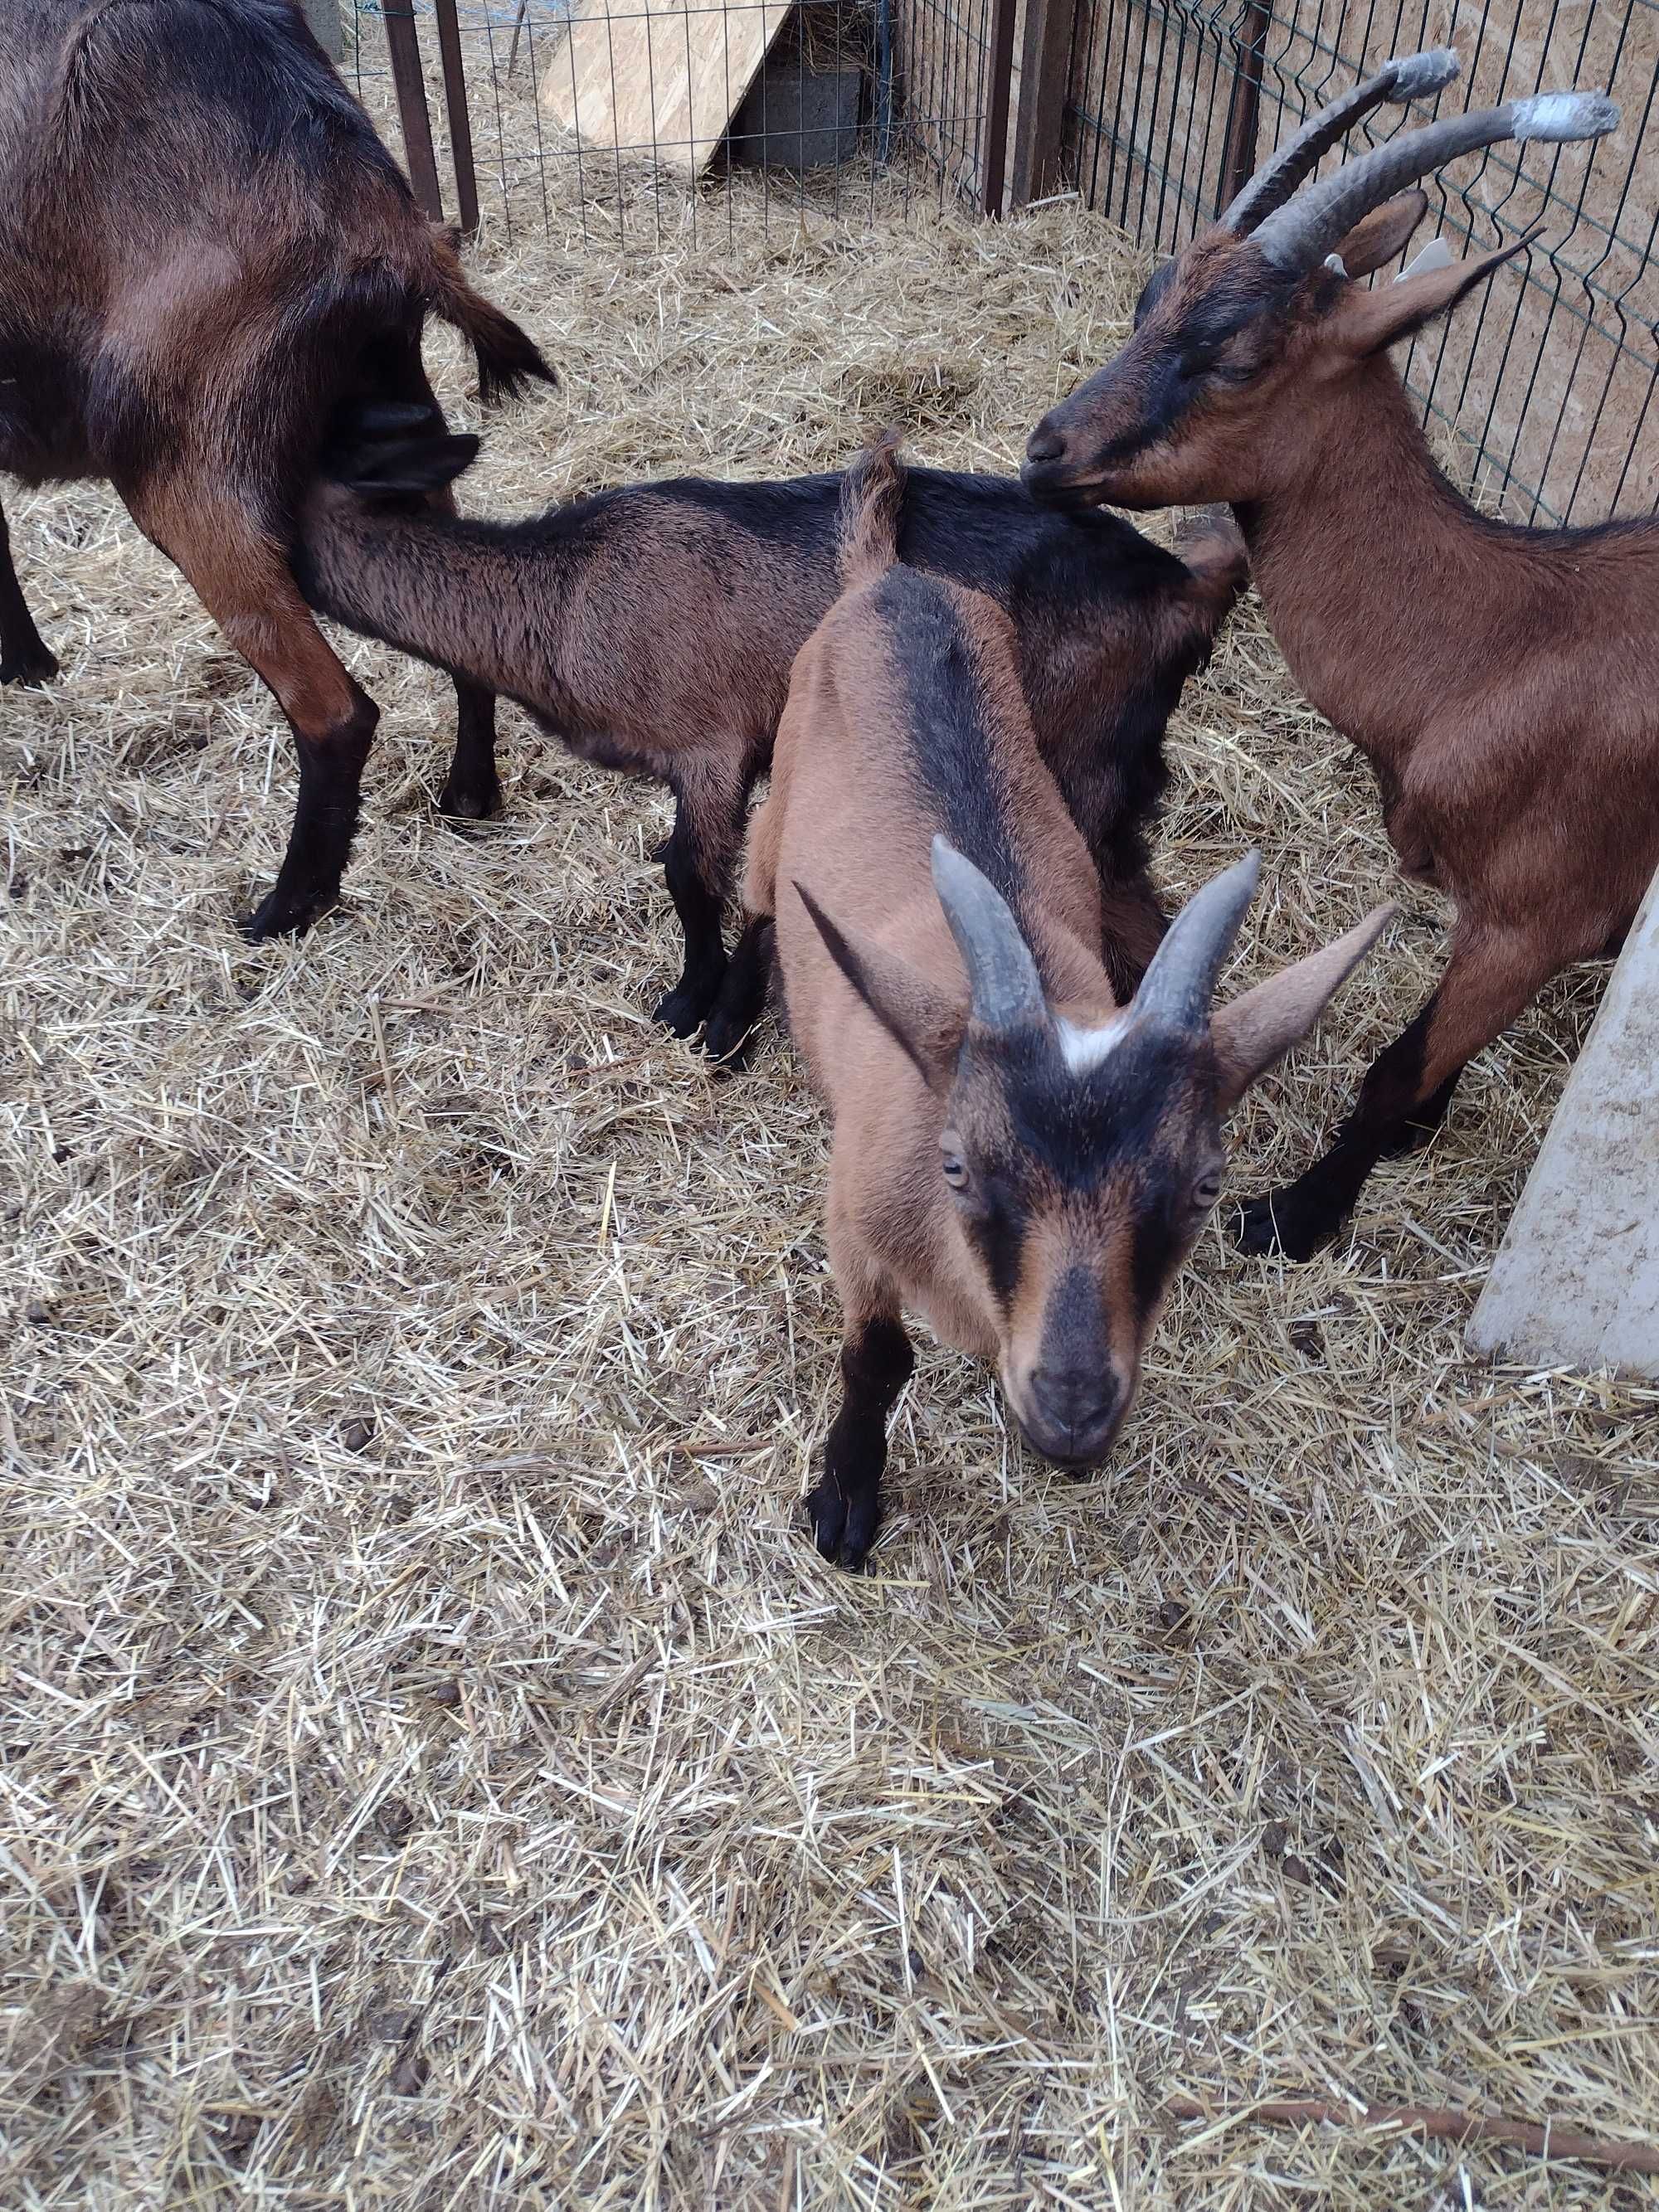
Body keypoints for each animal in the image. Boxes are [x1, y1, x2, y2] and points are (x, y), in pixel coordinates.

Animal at [0, 0, 559, 933]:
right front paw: (29, 667)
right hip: (388, 414)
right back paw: (467, 797)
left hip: (185, 467)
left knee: (333, 709)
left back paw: (287, 905)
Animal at [296, 411, 1248, 1030]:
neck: (565, 591)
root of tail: (1181, 589)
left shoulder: (708, 743)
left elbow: (691, 874)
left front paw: (697, 1008)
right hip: (1118, 775)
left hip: (1073, 760)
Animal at [738, 440, 1389, 1566]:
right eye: (957, 1164)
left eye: (1206, 1184)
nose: (1074, 1406)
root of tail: (886, 578)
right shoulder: (852, 1220)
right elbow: (875, 1358)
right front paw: (845, 1504)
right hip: (777, 812)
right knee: (750, 884)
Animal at [1026, 51, 1659, 1265]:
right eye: (1148, 299)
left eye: (1232, 354)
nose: (1049, 448)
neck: (1502, 642)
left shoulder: (1535, 917)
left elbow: (1394, 1064)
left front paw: (1291, 1217)